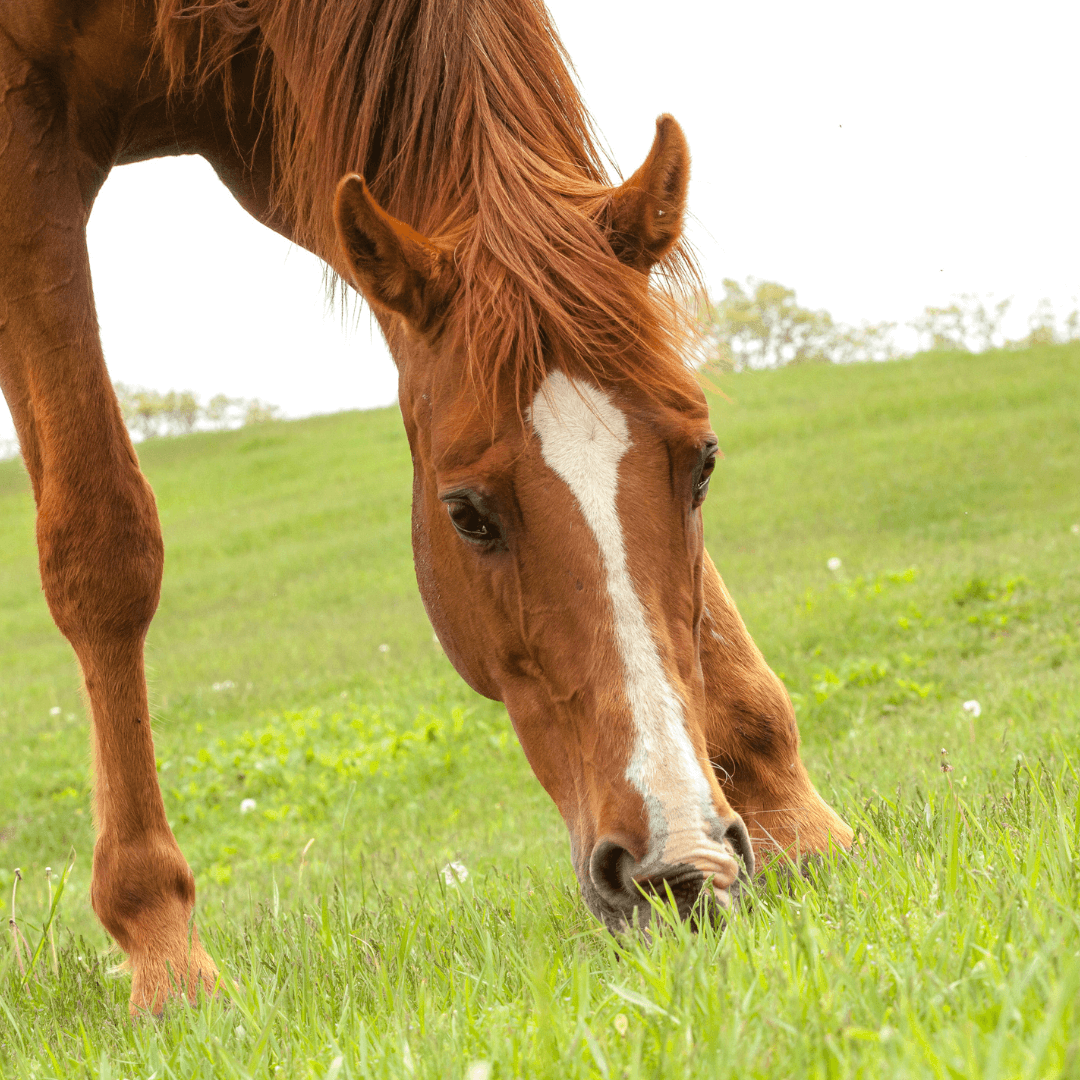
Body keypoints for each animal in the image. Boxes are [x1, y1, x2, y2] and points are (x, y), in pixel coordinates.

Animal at [0, 0, 852, 1014]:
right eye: (467, 514)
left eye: (705, 465)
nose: (675, 868)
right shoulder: (26, 146)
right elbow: (102, 542)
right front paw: (164, 948)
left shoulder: (302, 142)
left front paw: (796, 821)